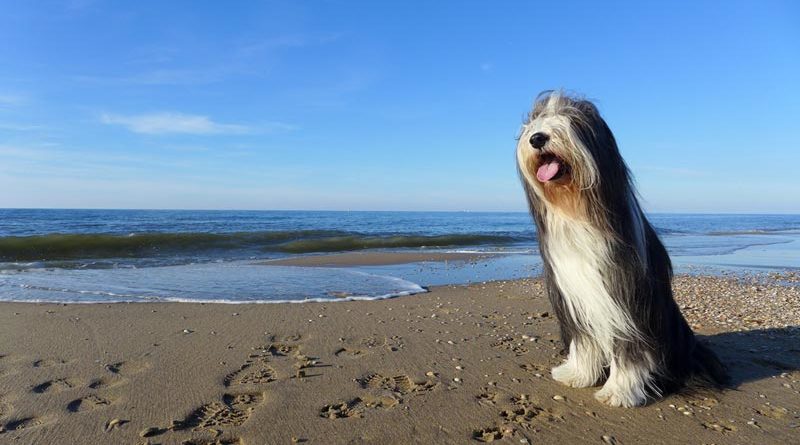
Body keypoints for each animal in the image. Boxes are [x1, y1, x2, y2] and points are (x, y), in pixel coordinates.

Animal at [516, 90, 728, 406]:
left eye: (571, 118)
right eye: (534, 120)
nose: (537, 138)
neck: (579, 212)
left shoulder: (629, 302)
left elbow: (631, 351)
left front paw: (619, 391)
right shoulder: (575, 298)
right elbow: (585, 342)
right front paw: (577, 375)